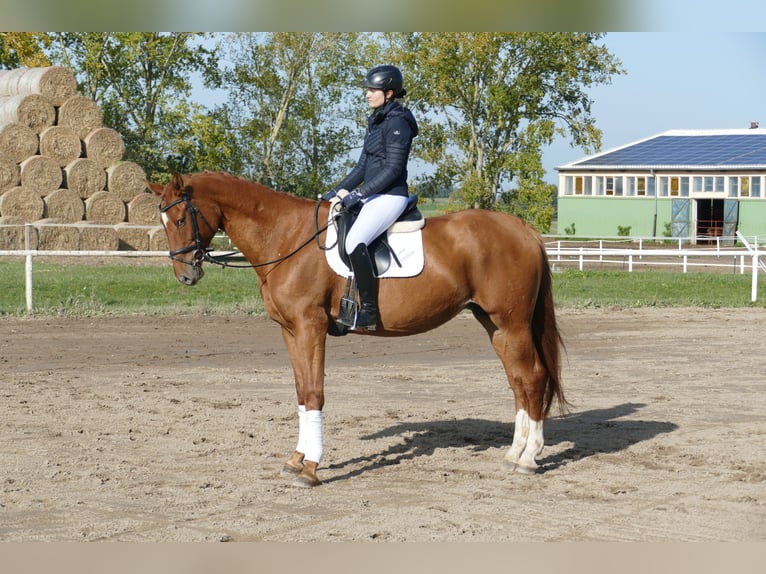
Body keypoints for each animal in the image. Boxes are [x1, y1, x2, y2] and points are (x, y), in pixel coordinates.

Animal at [150, 172, 568, 490]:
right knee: (517, 380)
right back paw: (513, 454)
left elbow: (315, 394)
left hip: (512, 323)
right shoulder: (290, 331)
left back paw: (529, 459)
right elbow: (301, 392)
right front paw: (296, 458)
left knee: (532, 378)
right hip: (494, 324)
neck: (286, 237)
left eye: (182, 219)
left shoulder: (311, 327)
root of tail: (525, 230)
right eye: (164, 222)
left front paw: (311, 469)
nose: (186, 276)